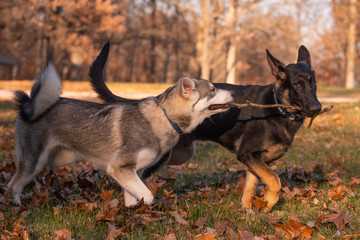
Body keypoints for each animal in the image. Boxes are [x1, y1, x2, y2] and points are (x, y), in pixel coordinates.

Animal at [9, 64, 233, 206]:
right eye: (212, 89)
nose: (233, 93)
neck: (164, 116)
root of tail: (30, 103)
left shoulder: (133, 172)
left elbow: (134, 199)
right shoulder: (119, 168)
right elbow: (148, 197)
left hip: (56, 159)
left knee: (14, 181)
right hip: (35, 161)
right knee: (15, 184)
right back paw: (16, 206)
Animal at [87, 42, 320, 211]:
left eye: (313, 83)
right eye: (298, 85)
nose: (317, 108)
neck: (278, 108)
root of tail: (158, 100)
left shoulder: (256, 162)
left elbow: (252, 187)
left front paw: (248, 212)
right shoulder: (247, 155)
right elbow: (275, 180)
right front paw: (270, 201)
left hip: (178, 155)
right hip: (157, 159)